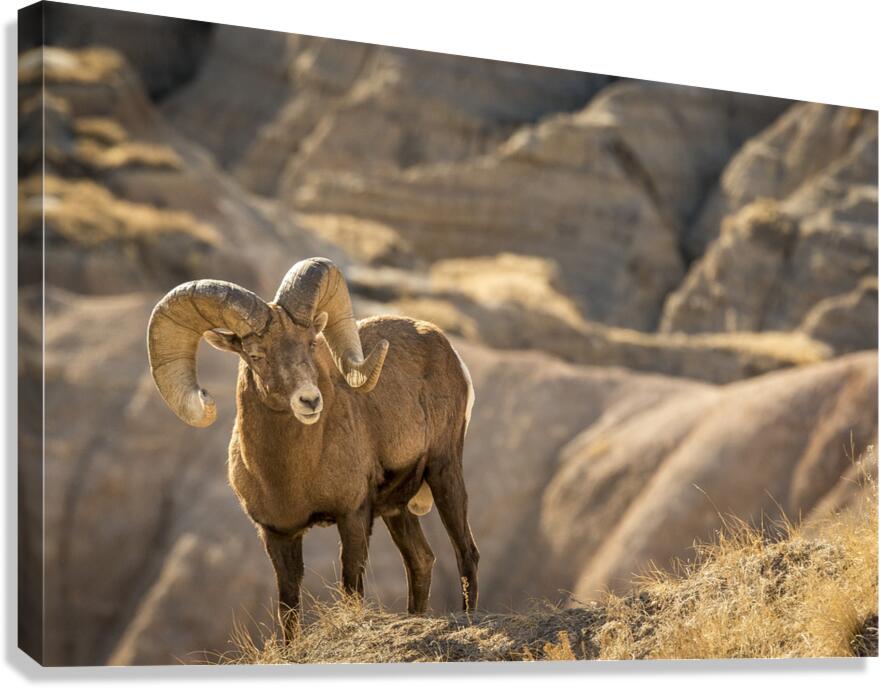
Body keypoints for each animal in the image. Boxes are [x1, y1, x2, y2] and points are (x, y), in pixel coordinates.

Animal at [147, 257, 478, 635]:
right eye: (256, 354)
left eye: (310, 343)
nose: (309, 400)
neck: (289, 476)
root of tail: (445, 347)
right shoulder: (278, 535)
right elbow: (288, 611)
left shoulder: (353, 516)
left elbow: (351, 590)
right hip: (398, 508)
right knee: (421, 560)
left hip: (444, 472)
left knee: (466, 552)